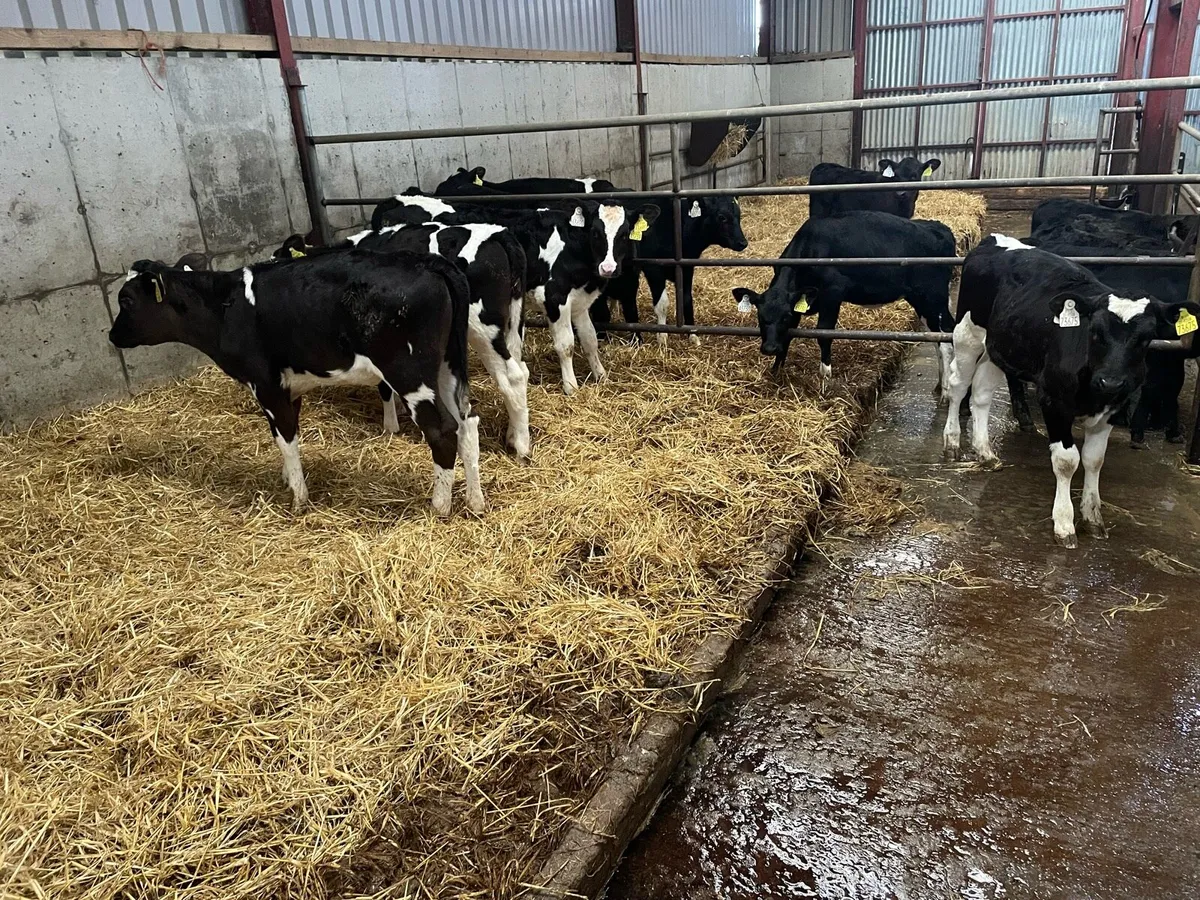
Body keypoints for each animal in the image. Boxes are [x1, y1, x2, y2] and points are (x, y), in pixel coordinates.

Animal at [109, 250, 482, 516]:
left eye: (126, 300)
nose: (113, 335)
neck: (225, 307)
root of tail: (428, 262)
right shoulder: (289, 387)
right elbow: (286, 437)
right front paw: (289, 481)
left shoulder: (266, 384)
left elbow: (286, 438)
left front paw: (298, 500)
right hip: (447, 367)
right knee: (467, 423)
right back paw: (475, 501)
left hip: (409, 373)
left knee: (442, 430)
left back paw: (439, 507)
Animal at [372, 193, 661, 394]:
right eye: (596, 232)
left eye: (624, 234)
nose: (609, 267)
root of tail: (397, 200)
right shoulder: (554, 298)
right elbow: (566, 345)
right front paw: (570, 386)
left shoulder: (579, 301)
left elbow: (590, 339)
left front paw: (600, 375)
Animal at [591, 196, 749, 345]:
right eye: (722, 217)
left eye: (739, 215)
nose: (743, 242)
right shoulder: (654, 269)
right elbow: (662, 304)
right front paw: (662, 336)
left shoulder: (686, 268)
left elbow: (687, 299)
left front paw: (692, 335)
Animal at [730, 210, 956, 393]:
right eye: (760, 316)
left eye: (784, 317)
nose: (769, 348)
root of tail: (938, 227)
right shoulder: (800, 301)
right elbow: (788, 335)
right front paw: (776, 371)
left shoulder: (832, 294)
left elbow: (824, 333)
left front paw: (825, 374)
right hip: (922, 301)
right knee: (936, 335)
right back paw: (939, 385)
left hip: (933, 297)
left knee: (946, 335)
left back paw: (945, 390)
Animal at [941, 234, 1200, 547]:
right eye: (1096, 332)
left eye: (1145, 338)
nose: (1111, 381)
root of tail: (993, 240)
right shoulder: (1054, 402)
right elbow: (1067, 461)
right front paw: (1064, 522)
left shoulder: (1112, 408)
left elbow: (1094, 460)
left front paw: (1092, 516)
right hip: (967, 333)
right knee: (958, 385)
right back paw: (952, 442)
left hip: (999, 347)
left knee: (981, 392)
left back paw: (985, 452)